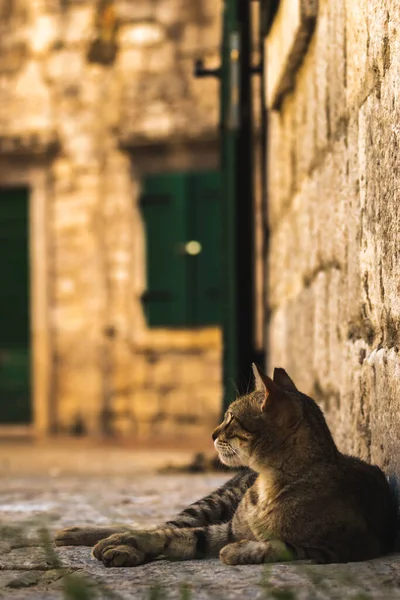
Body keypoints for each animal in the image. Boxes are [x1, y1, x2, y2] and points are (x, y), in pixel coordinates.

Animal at [54, 366, 396, 568]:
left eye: (231, 419)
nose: (212, 433)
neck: (268, 483)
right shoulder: (226, 528)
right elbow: (173, 535)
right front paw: (126, 541)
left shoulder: (352, 544)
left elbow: (284, 545)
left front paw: (241, 551)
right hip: (213, 502)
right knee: (166, 524)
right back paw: (98, 538)